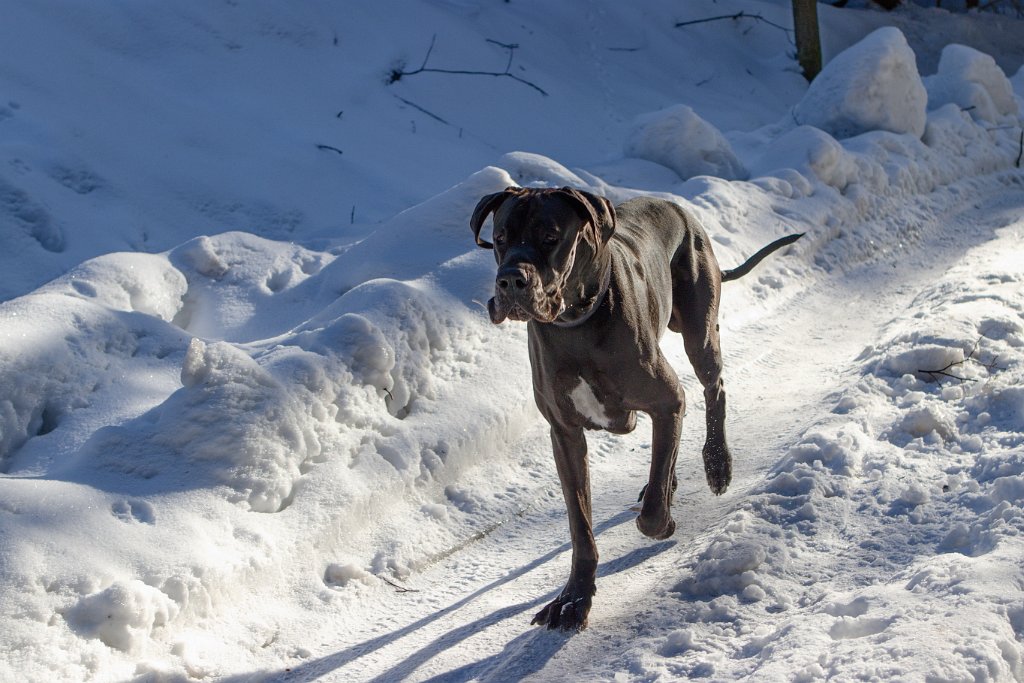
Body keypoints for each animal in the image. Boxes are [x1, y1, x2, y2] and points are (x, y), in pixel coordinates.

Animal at [468, 185, 798, 630]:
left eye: (550, 237)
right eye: (500, 237)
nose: (509, 280)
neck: (576, 325)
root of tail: (679, 209)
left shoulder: (667, 399)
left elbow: (653, 513)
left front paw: (664, 519)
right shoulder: (565, 436)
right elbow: (580, 526)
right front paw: (574, 598)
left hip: (699, 330)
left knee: (714, 390)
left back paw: (717, 465)